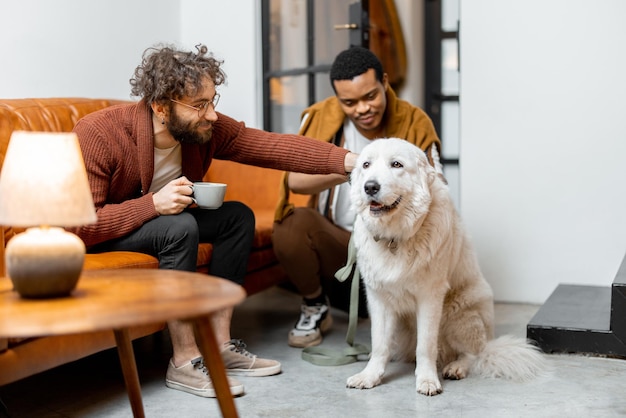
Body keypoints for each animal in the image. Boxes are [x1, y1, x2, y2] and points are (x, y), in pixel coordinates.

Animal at [344, 140, 544, 396]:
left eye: (396, 164)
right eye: (366, 165)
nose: (370, 187)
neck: (397, 238)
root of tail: (490, 340)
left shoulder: (430, 298)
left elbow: (426, 345)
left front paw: (427, 380)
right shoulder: (379, 299)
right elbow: (379, 344)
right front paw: (370, 376)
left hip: (459, 313)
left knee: (474, 354)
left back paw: (456, 367)